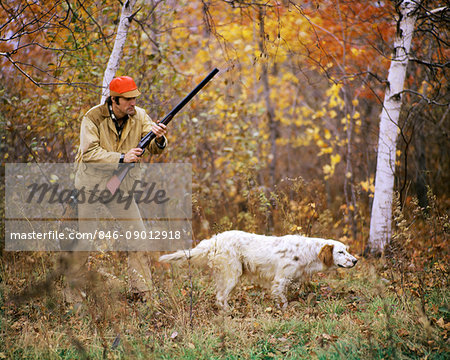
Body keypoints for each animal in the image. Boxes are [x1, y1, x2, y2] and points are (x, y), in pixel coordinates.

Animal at [160, 231, 356, 310]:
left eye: (347, 250)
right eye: (341, 252)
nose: (355, 260)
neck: (306, 252)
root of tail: (214, 241)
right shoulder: (280, 280)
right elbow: (282, 300)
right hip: (232, 275)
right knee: (221, 297)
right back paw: (229, 313)